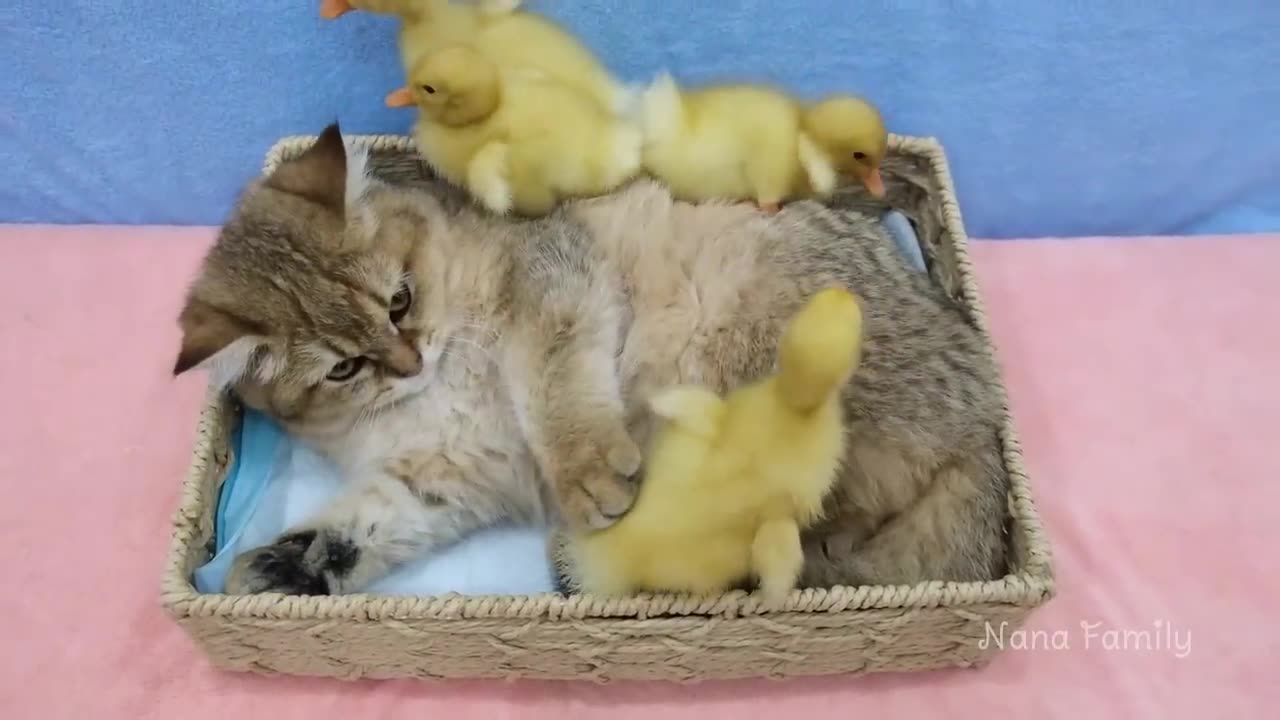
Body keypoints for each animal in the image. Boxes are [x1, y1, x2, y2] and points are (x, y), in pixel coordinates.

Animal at [172, 124, 1008, 594]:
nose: (410, 361)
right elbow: (361, 529)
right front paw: (285, 568)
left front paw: (587, 469)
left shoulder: (555, 278)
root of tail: (984, 412)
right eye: (342, 369)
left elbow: (551, 377)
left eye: (400, 301)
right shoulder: (448, 478)